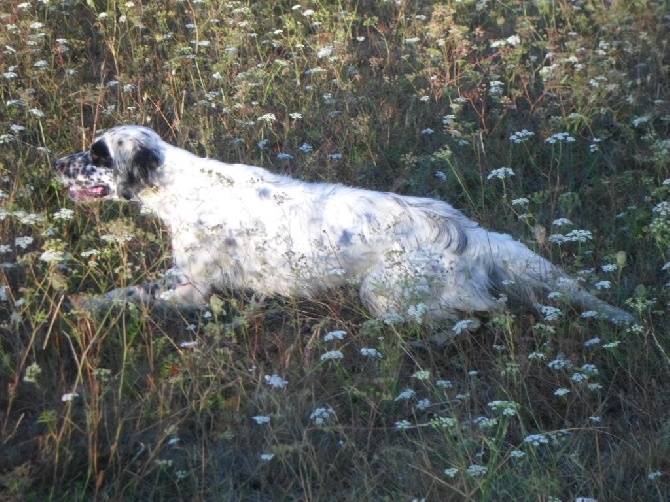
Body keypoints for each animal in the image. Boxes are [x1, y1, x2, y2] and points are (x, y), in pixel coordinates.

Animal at [53, 123, 636, 324]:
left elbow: (132, 296)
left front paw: (84, 304)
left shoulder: (192, 287)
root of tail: (470, 234)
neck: (181, 186)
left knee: (481, 312)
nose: (57, 163)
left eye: (98, 155)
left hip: (382, 291)